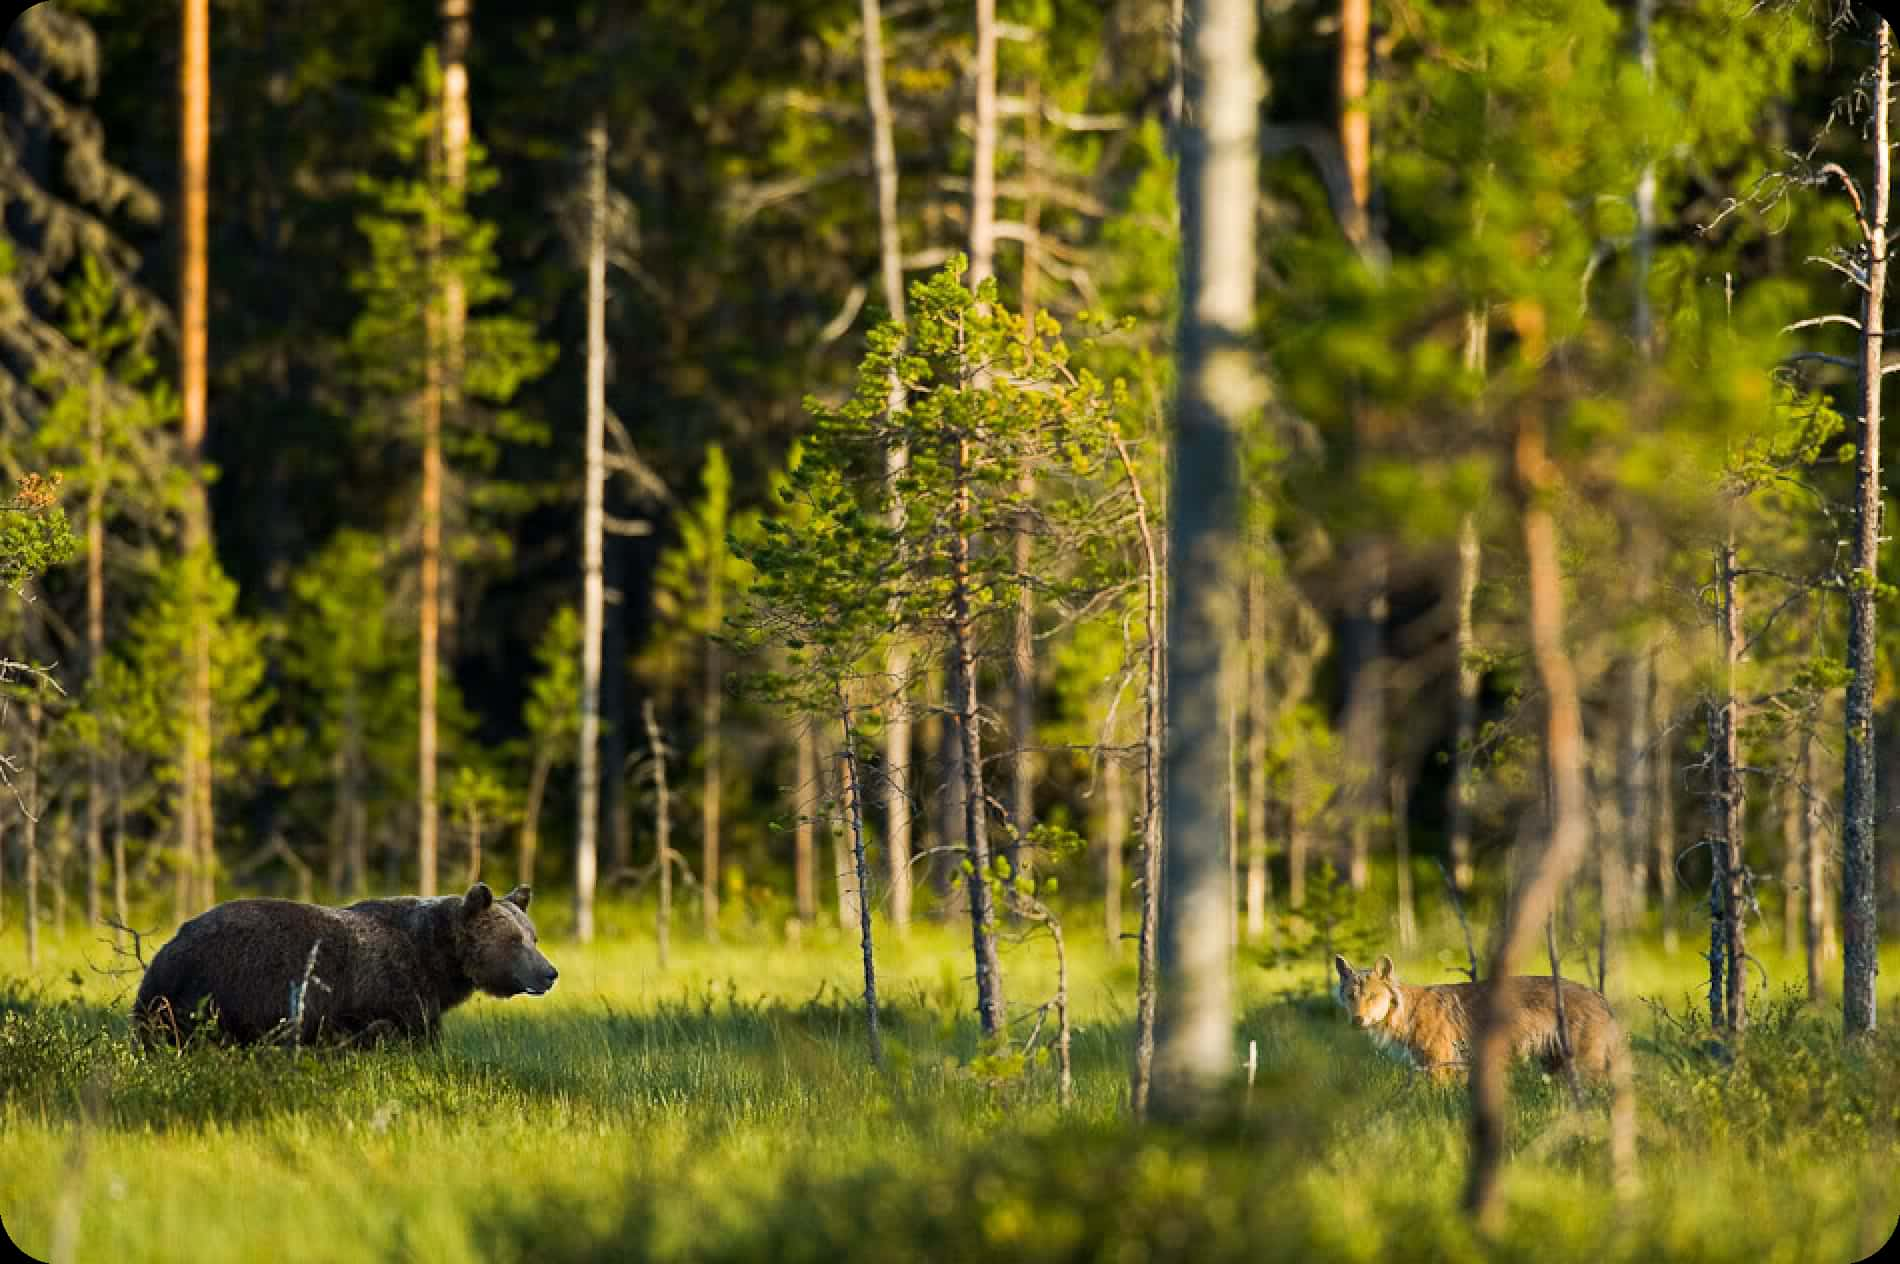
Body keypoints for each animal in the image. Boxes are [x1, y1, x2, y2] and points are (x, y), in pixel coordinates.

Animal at [129, 878, 551, 1041]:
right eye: (514, 941)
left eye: (534, 936)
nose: (550, 973)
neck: (437, 961)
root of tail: (169, 947)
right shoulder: (391, 989)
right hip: (224, 987)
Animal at [1330, 950, 1626, 1079]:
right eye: (1351, 997)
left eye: (1372, 997)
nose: (1357, 1020)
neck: (1407, 1013)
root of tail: (1600, 996)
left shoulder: (1441, 1067)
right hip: (1555, 1065)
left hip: (1585, 1066)